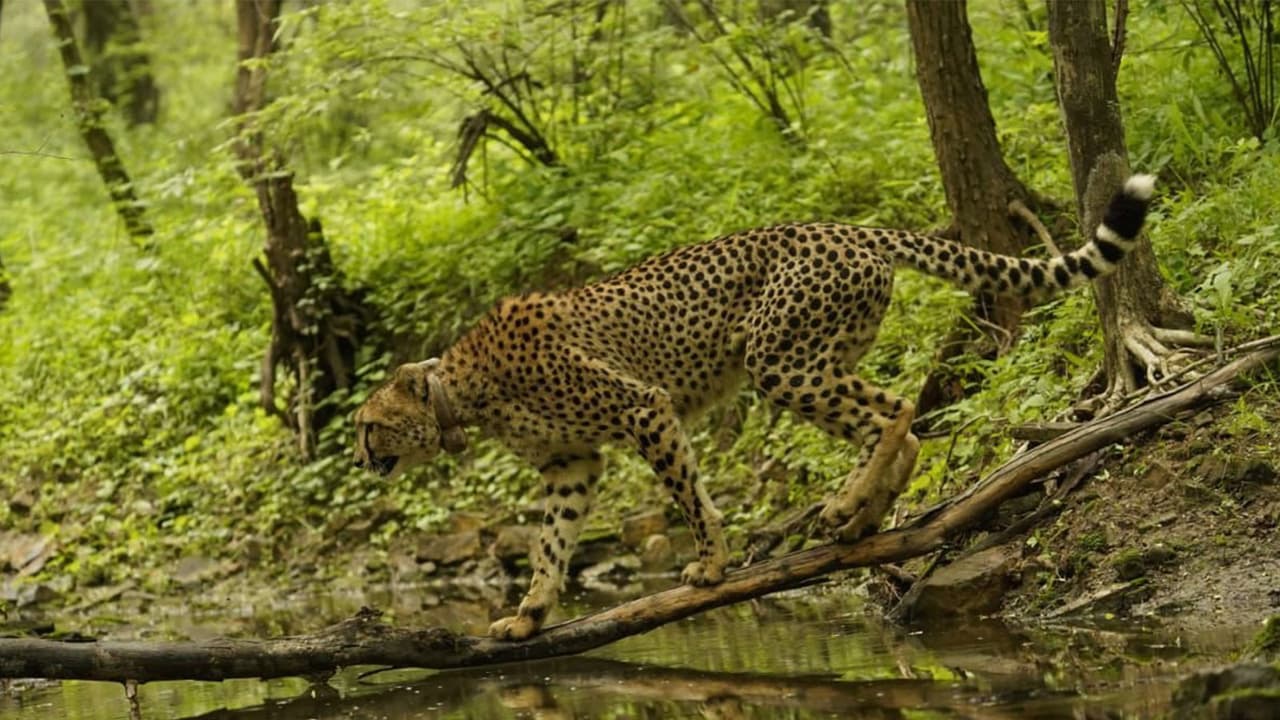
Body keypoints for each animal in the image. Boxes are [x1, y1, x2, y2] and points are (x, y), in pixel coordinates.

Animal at [353, 174, 1155, 641]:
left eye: (368, 424)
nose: (361, 455)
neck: (461, 390)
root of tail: (849, 227)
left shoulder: (643, 408)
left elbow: (688, 494)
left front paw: (711, 565)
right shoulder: (571, 463)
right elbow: (551, 541)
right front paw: (530, 613)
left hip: (779, 360)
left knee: (895, 408)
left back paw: (844, 507)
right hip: (817, 354)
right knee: (898, 423)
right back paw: (862, 518)